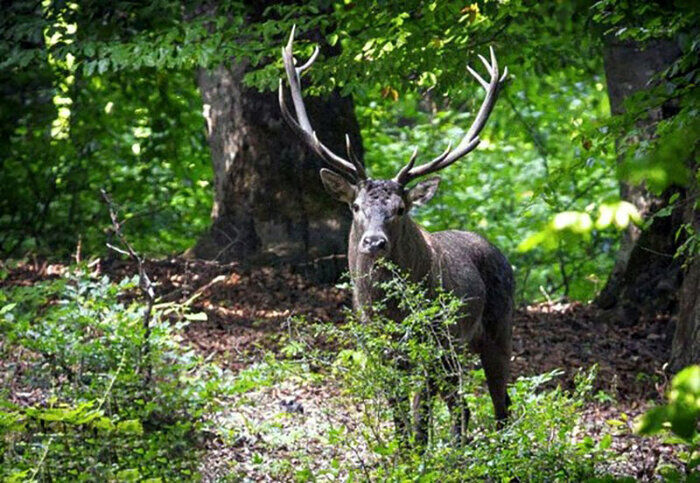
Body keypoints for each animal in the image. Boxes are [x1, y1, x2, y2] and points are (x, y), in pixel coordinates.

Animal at [278, 28, 516, 448]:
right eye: (356, 206)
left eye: (401, 209)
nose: (374, 242)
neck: (389, 308)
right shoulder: (378, 343)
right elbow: (398, 408)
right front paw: (404, 452)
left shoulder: (431, 338)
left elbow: (420, 410)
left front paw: (419, 453)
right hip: (457, 347)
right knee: (463, 405)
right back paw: (460, 447)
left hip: (495, 328)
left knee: (500, 403)